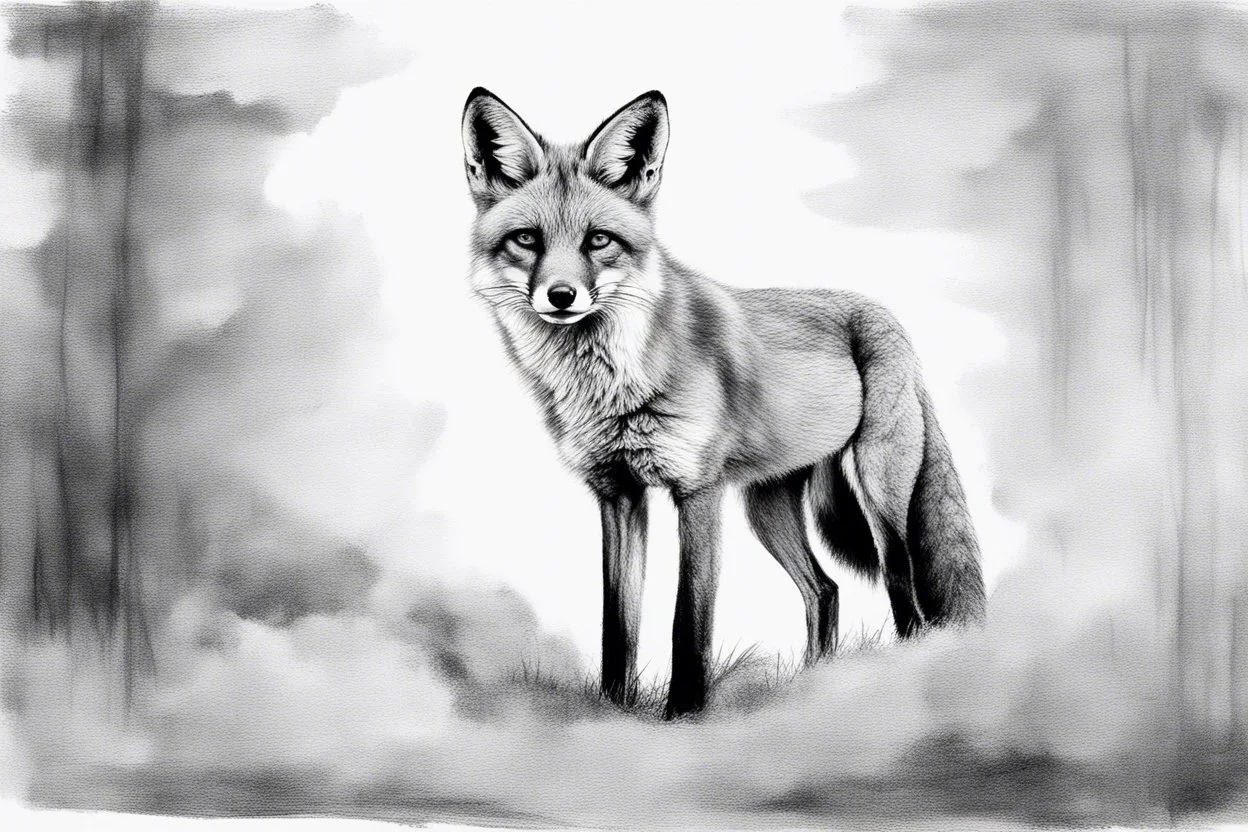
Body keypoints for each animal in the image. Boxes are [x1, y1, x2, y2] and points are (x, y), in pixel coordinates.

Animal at [460, 88, 986, 718]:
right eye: (527, 239)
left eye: (598, 240)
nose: (561, 296)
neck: (614, 387)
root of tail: (886, 316)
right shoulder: (617, 493)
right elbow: (618, 625)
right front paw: (614, 712)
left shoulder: (698, 491)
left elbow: (688, 623)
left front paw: (684, 717)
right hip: (765, 508)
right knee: (825, 589)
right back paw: (813, 688)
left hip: (879, 491)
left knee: (901, 589)